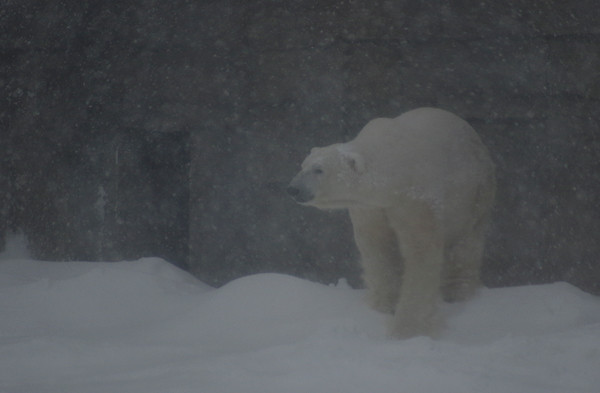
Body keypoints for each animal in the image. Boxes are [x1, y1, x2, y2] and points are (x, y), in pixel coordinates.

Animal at [288, 106, 494, 336]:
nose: (293, 189)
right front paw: (382, 307)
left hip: (477, 192)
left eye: (319, 169)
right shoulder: (372, 207)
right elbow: (377, 247)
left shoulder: (416, 198)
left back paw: (458, 293)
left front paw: (408, 329)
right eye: (302, 165)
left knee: (466, 244)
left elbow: (421, 251)